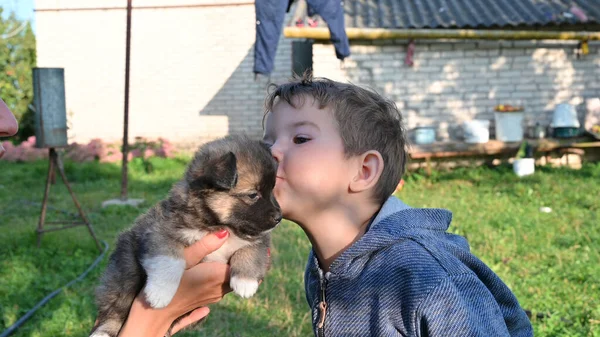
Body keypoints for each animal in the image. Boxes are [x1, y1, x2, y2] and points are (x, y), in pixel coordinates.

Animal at [91, 135, 282, 336]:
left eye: (272, 190)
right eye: (253, 195)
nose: (279, 217)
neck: (218, 224)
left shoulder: (260, 239)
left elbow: (251, 251)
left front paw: (246, 282)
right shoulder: (160, 232)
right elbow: (170, 261)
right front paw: (160, 293)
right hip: (124, 273)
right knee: (113, 309)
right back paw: (103, 331)